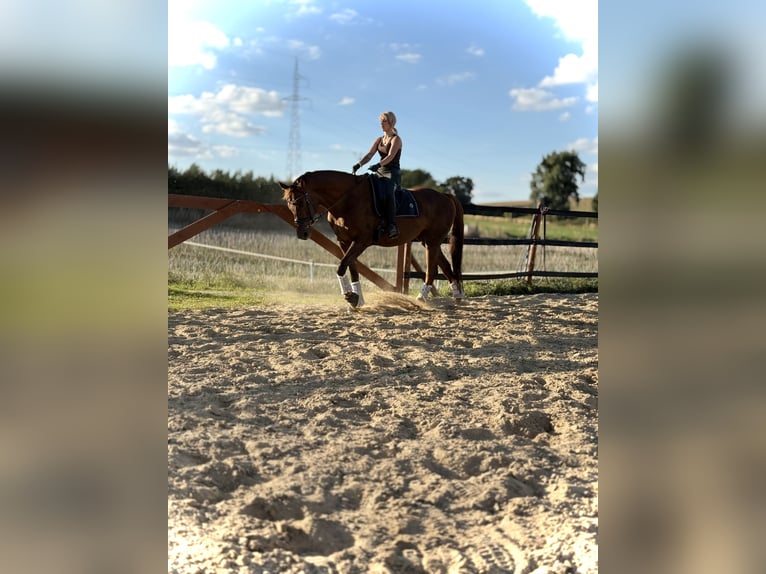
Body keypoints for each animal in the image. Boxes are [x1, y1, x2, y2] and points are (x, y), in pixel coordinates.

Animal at [280, 170, 464, 307]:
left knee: (433, 269)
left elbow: (342, 266)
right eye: (289, 204)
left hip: (433, 241)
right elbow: (352, 267)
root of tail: (445, 195)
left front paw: (351, 297)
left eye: (300, 203)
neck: (347, 199)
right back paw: (457, 296)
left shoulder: (361, 241)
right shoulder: (344, 241)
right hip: (428, 241)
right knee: (446, 266)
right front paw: (357, 298)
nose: (302, 233)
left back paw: (422, 298)